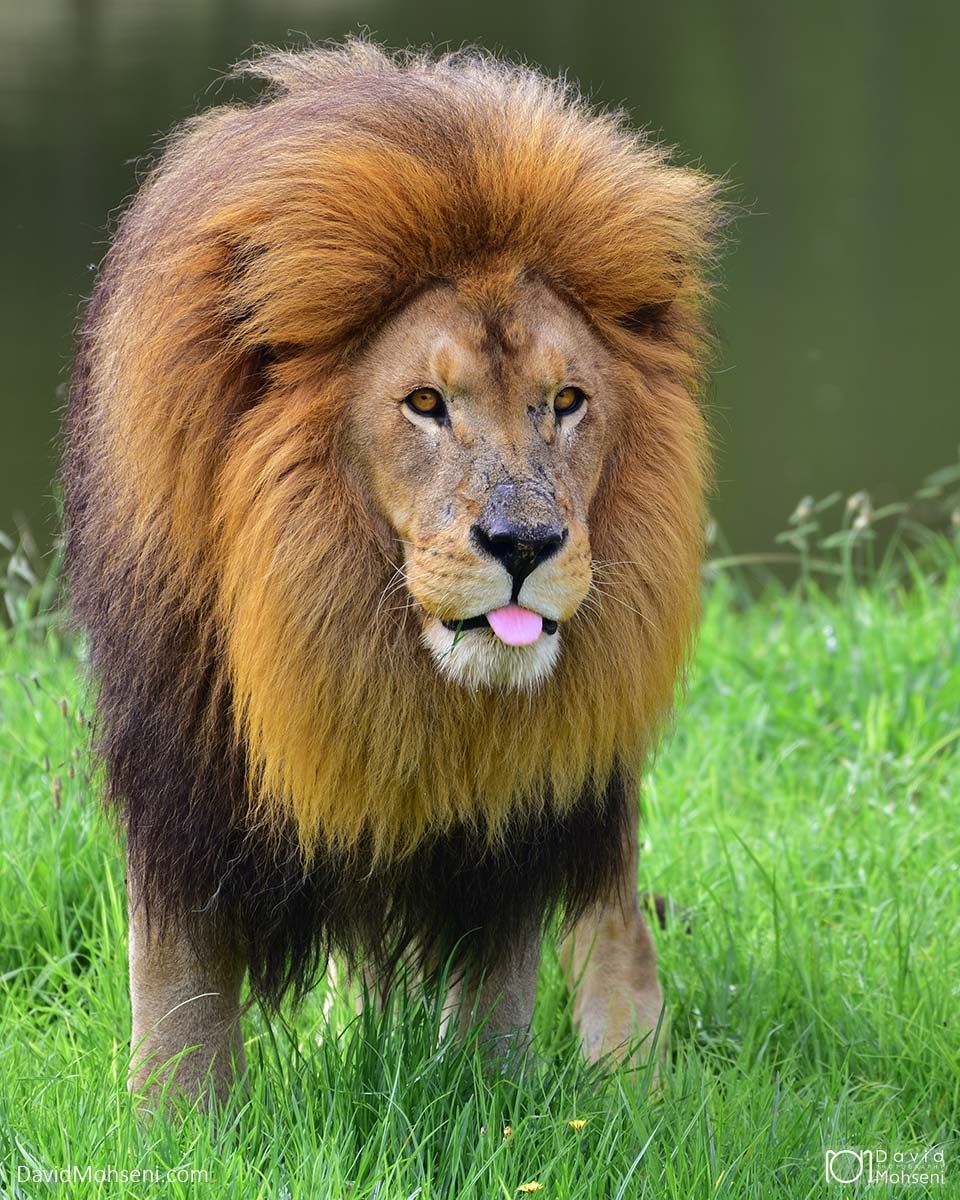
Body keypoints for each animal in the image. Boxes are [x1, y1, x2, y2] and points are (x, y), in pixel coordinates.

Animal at [63, 41, 721, 1100]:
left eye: (567, 401)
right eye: (424, 402)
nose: (527, 545)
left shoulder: (516, 819)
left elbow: (498, 994)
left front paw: (498, 1105)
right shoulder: (183, 773)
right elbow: (177, 992)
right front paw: (178, 1123)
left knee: (615, 914)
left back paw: (637, 1083)